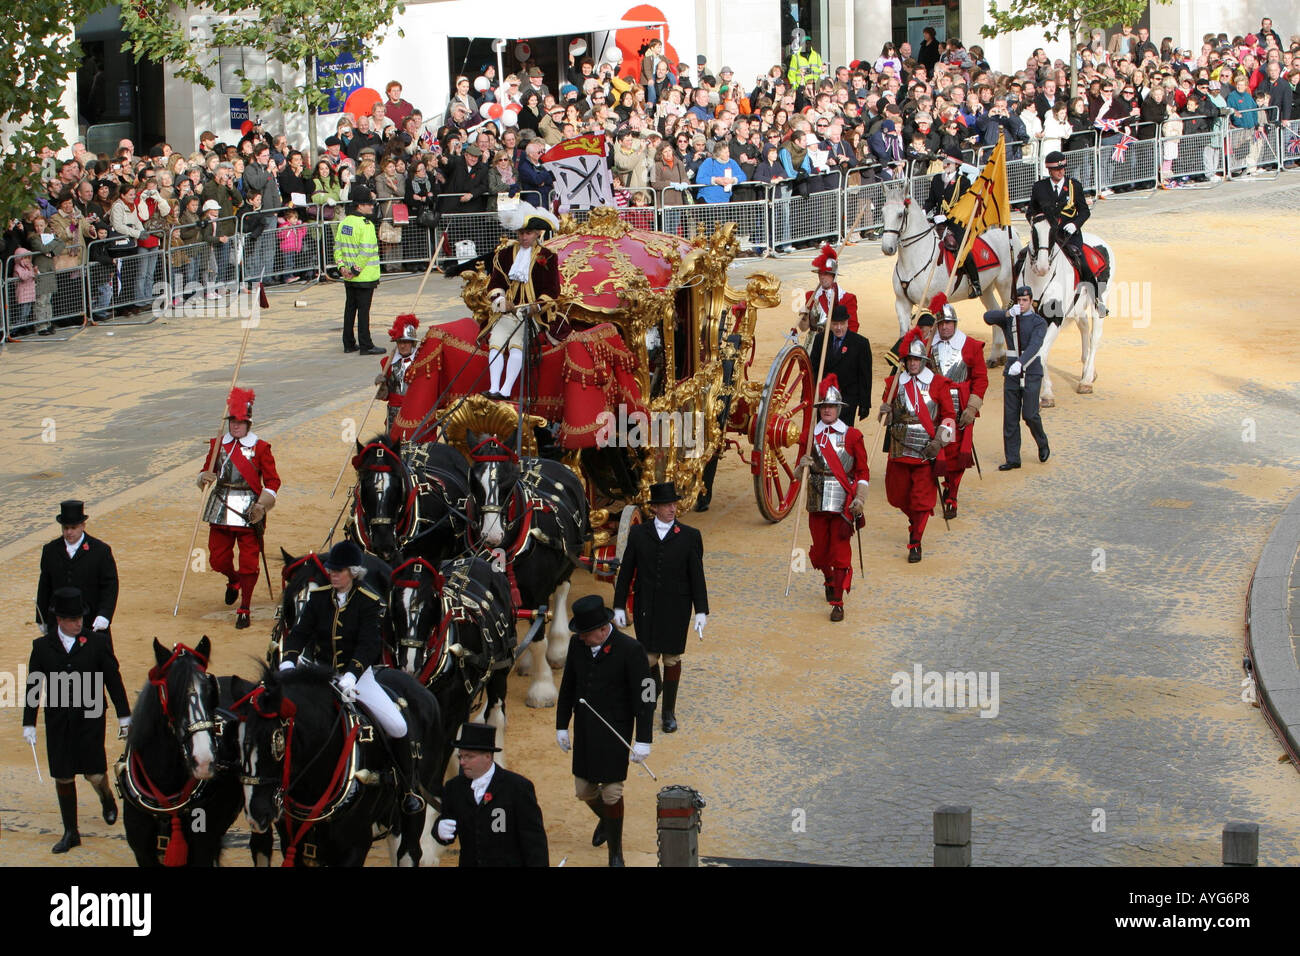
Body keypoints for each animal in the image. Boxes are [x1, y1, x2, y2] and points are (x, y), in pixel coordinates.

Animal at [237, 665, 447, 868]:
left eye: (277, 741)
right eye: (239, 741)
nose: (256, 814)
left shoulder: (355, 846)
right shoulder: (294, 845)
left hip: (415, 805)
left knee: (408, 852)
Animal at [467, 434, 590, 712]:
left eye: (509, 481)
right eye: (474, 479)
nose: (491, 536)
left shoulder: (537, 595)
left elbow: (538, 643)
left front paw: (542, 688)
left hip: (570, 558)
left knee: (562, 590)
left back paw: (558, 647)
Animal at [878, 187, 1019, 340]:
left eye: (900, 215)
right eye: (883, 213)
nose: (887, 248)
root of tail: (1009, 230)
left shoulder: (934, 305)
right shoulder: (902, 303)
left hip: (1006, 284)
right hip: (987, 288)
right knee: (995, 311)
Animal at [1019, 217, 1112, 408]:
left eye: (1053, 231)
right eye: (1033, 231)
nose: (1042, 266)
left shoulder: (1054, 320)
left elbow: (1040, 353)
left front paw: (1042, 393)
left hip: (1098, 302)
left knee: (1095, 337)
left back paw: (1086, 380)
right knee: (1084, 327)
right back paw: (1088, 370)